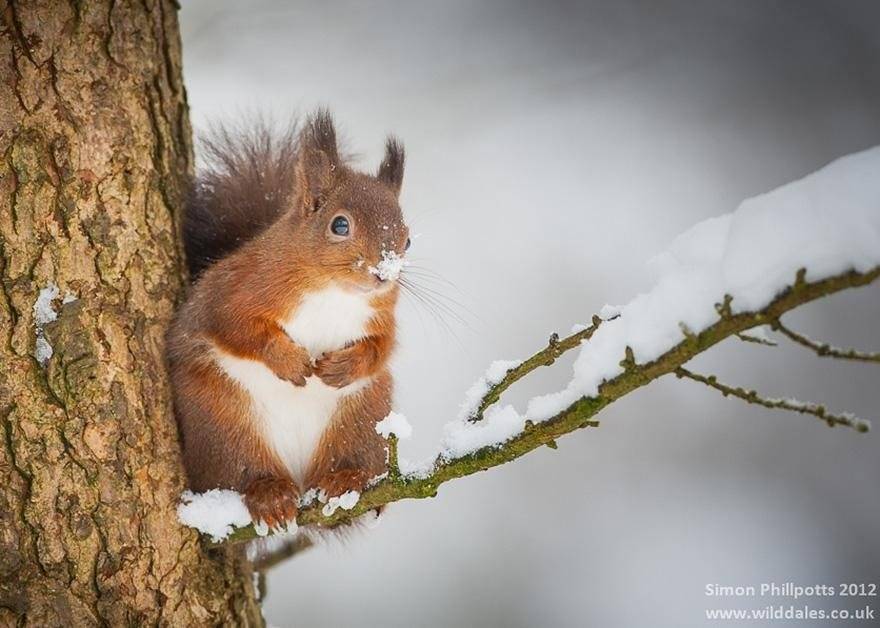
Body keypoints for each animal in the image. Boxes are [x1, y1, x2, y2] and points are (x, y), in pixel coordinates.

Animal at [166, 110, 410, 528]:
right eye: (340, 225)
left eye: (407, 239)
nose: (384, 273)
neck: (334, 293)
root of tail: (298, 474)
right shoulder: (236, 290)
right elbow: (236, 327)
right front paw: (288, 359)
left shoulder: (382, 317)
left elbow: (382, 348)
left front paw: (345, 365)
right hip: (222, 422)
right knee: (242, 470)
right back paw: (268, 493)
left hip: (363, 418)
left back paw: (346, 480)